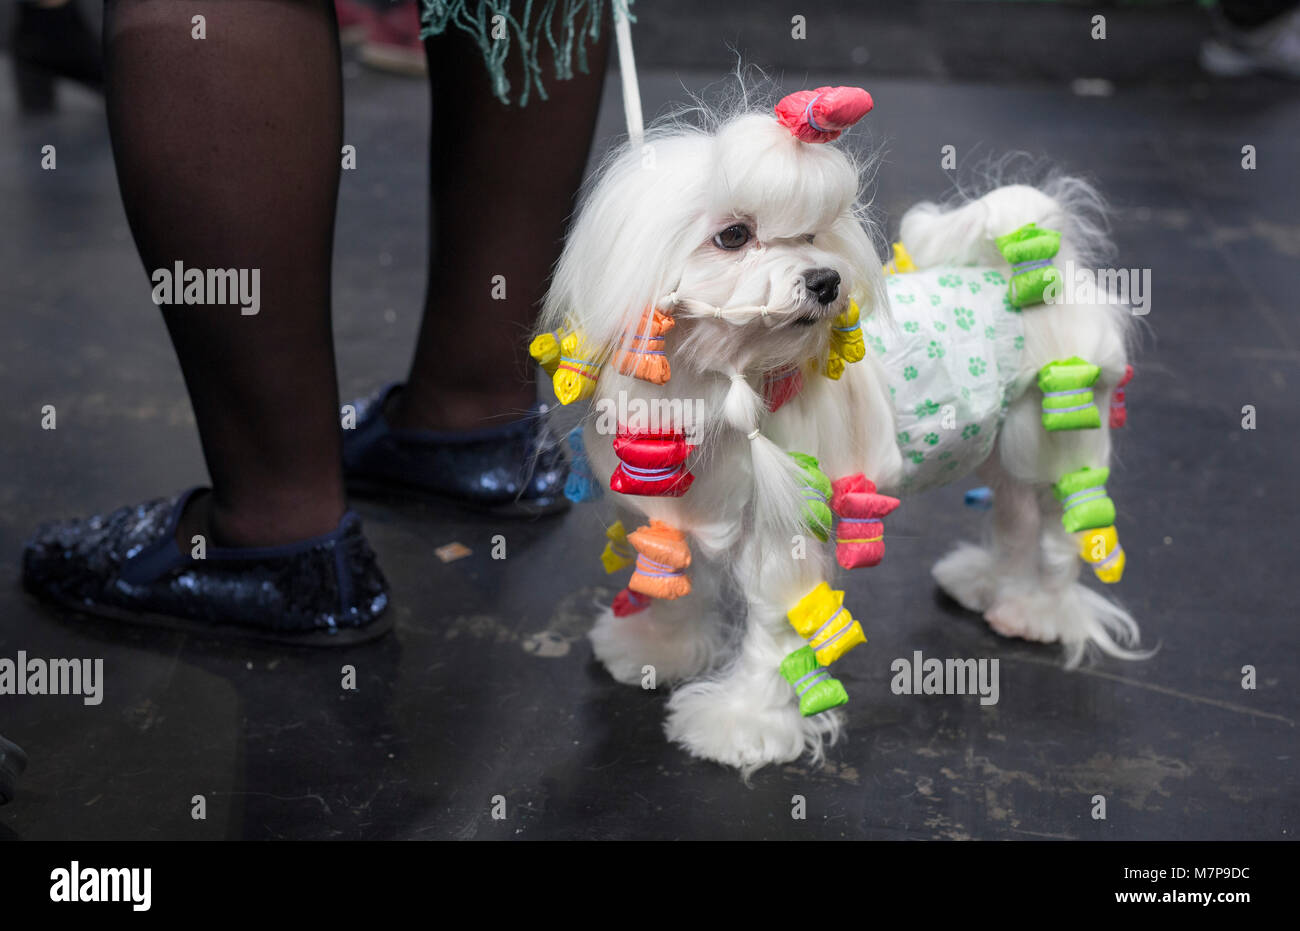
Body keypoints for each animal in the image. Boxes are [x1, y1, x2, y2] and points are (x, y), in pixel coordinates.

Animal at [533, 85, 1144, 769]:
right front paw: (654, 650)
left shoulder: (783, 534)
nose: (825, 280)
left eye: (810, 234)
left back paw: (1038, 610)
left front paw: (744, 724)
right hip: (1001, 445)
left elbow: (777, 627)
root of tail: (1034, 272)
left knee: (1063, 534)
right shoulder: (673, 508)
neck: (723, 383)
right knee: (1015, 520)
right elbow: (674, 582)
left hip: (1053, 433)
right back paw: (992, 586)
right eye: (733, 235)